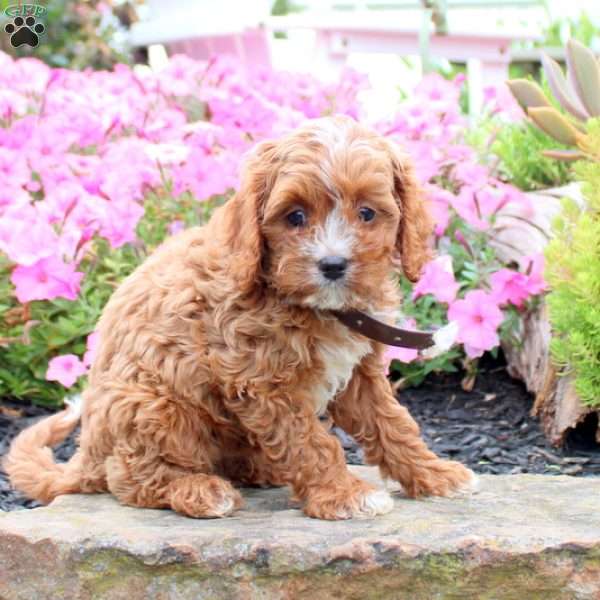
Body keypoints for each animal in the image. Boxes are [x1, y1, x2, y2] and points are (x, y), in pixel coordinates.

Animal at [4, 115, 474, 516]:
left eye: (367, 213)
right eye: (295, 216)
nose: (332, 265)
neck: (312, 305)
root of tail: (87, 453)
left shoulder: (361, 374)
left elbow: (392, 424)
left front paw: (434, 475)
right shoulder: (261, 381)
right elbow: (310, 441)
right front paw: (343, 494)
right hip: (154, 405)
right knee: (132, 479)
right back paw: (200, 490)